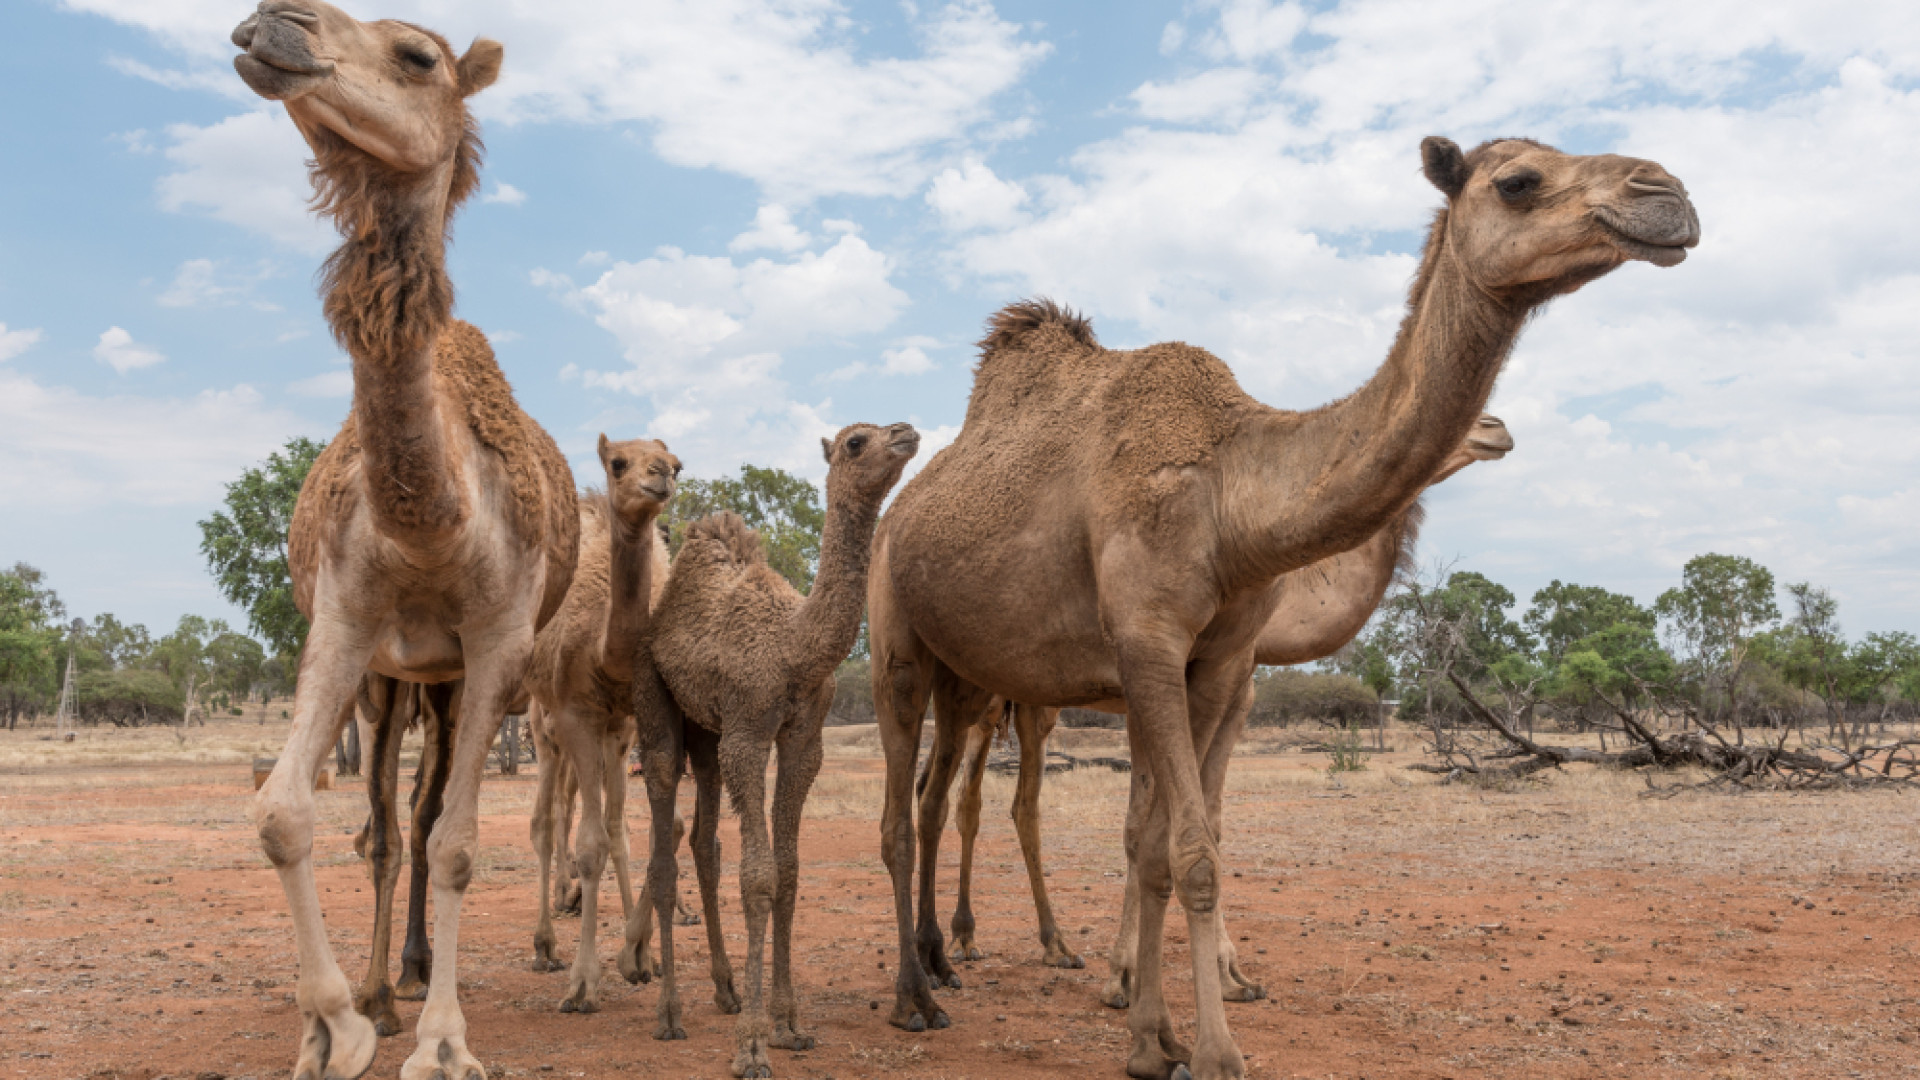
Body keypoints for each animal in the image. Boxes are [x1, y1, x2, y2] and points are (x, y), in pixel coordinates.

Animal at [233, 4, 576, 1068]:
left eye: (418, 56)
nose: (271, 26)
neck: (433, 525)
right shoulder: (344, 622)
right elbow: (285, 813)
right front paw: (334, 1026)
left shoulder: (499, 641)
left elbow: (457, 841)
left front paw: (443, 1044)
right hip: (392, 683)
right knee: (385, 822)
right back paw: (386, 986)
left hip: (452, 680)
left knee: (423, 819)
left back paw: (418, 976)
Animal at [629, 422, 921, 1076]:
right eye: (856, 441)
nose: (906, 432)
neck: (793, 649)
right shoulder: (747, 734)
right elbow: (758, 877)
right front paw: (753, 1048)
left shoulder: (801, 738)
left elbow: (787, 872)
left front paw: (788, 1025)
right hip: (658, 706)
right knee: (662, 843)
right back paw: (668, 1014)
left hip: (706, 734)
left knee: (703, 842)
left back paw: (726, 991)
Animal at [929, 417, 1512, 980]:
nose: (1497, 429)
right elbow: (1141, 825)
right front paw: (1129, 970)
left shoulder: (1237, 692)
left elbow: (1205, 817)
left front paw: (1223, 969)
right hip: (988, 695)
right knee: (970, 799)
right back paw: (968, 946)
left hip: (1021, 704)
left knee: (997, 803)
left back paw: (1019, 942)